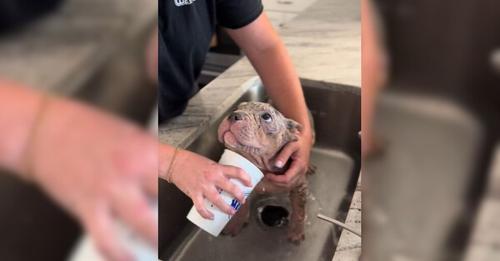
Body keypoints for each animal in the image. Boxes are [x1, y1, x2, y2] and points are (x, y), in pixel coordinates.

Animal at [218, 101, 312, 242]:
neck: (260, 166)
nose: (234, 115)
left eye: (266, 117)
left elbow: (299, 210)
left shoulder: (298, 184)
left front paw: (296, 232)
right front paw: (235, 223)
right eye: (237, 107)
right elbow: (240, 204)